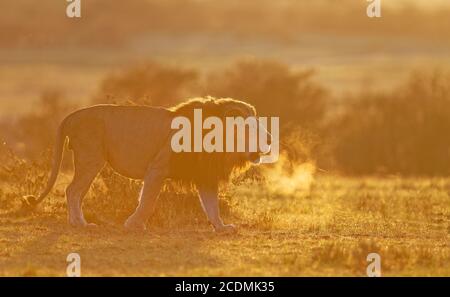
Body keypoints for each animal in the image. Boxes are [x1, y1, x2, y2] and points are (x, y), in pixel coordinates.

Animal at [23, 97, 270, 231]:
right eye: (251, 128)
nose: (269, 139)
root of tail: (71, 115)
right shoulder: (157, 168)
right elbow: (148, 200)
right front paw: (134, 224)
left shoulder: (204, 175)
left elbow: (212, 206)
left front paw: (222, 228)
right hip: (91, 158)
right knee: (72, 190)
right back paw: (80, 224)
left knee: (75, 192)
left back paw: (76, 222)